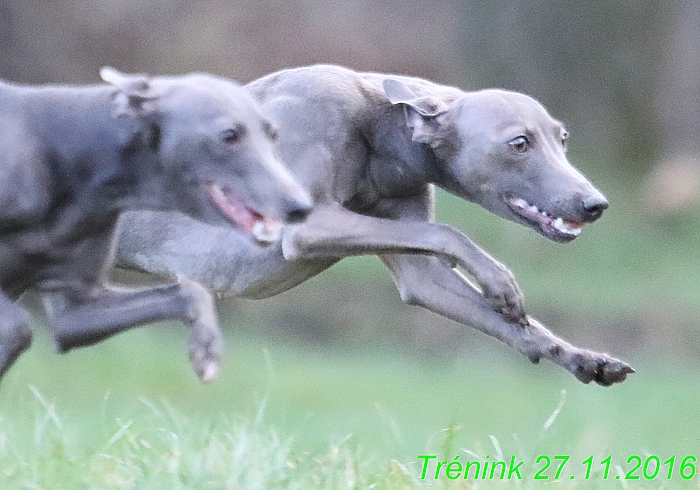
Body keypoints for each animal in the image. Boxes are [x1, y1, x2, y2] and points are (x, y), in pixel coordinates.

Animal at [0, 69, 312, 382]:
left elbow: (192, 292)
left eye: (273, 134)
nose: (300, 207)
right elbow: (17, 326)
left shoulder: (78, 308)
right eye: (228, 135)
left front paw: (206, 349)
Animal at [116, 64, 636, 386]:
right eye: (519, 143)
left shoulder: (417, 267)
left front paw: (584, 358)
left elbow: (483, 307)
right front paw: (499, 281)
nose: (595, 204)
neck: (377, 126)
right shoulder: (306, 228)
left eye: (562, 138)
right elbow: (447, 234)